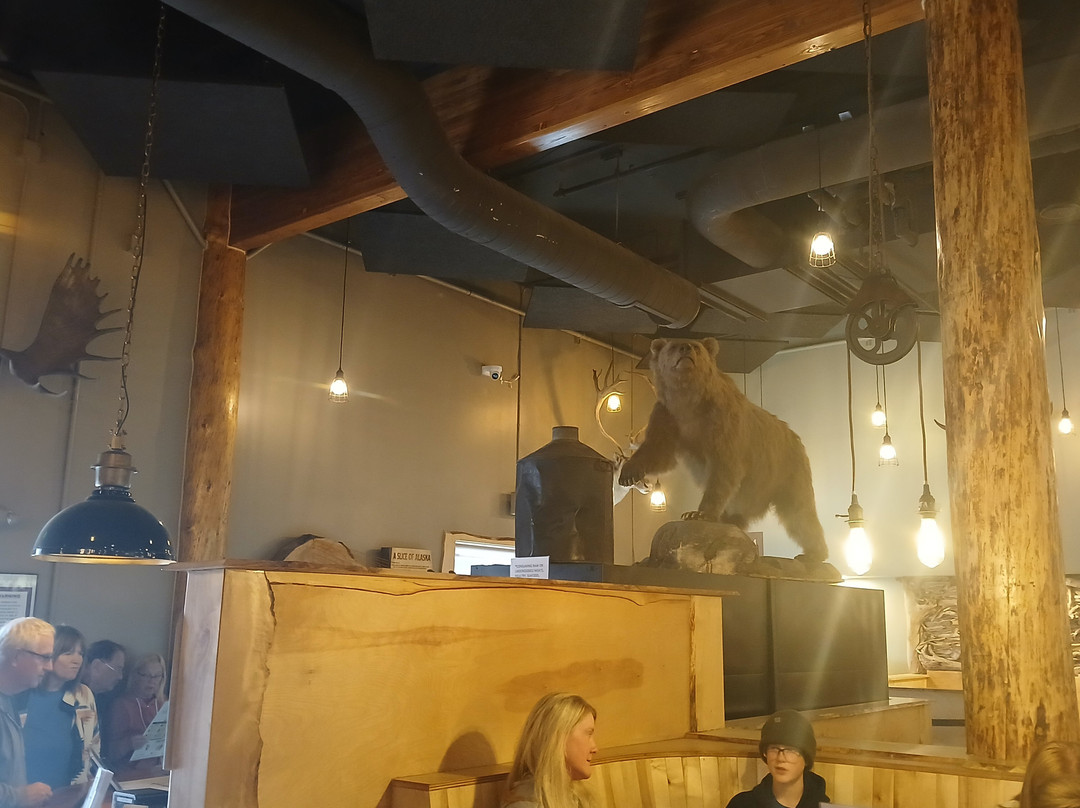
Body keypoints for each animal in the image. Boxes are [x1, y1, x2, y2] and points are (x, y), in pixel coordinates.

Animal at [619, 337, 829, 563]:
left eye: (696, 346)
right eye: (673, 346)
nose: (685, 348)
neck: (688, 401)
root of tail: (795, 436)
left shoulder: (722, 420)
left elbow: (724, 467)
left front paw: (697, 513)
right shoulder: (667, 416)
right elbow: (658, 451)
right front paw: (628, 474)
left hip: (787, 471)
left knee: (799, 513)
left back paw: (813, 553)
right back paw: (730, 519)